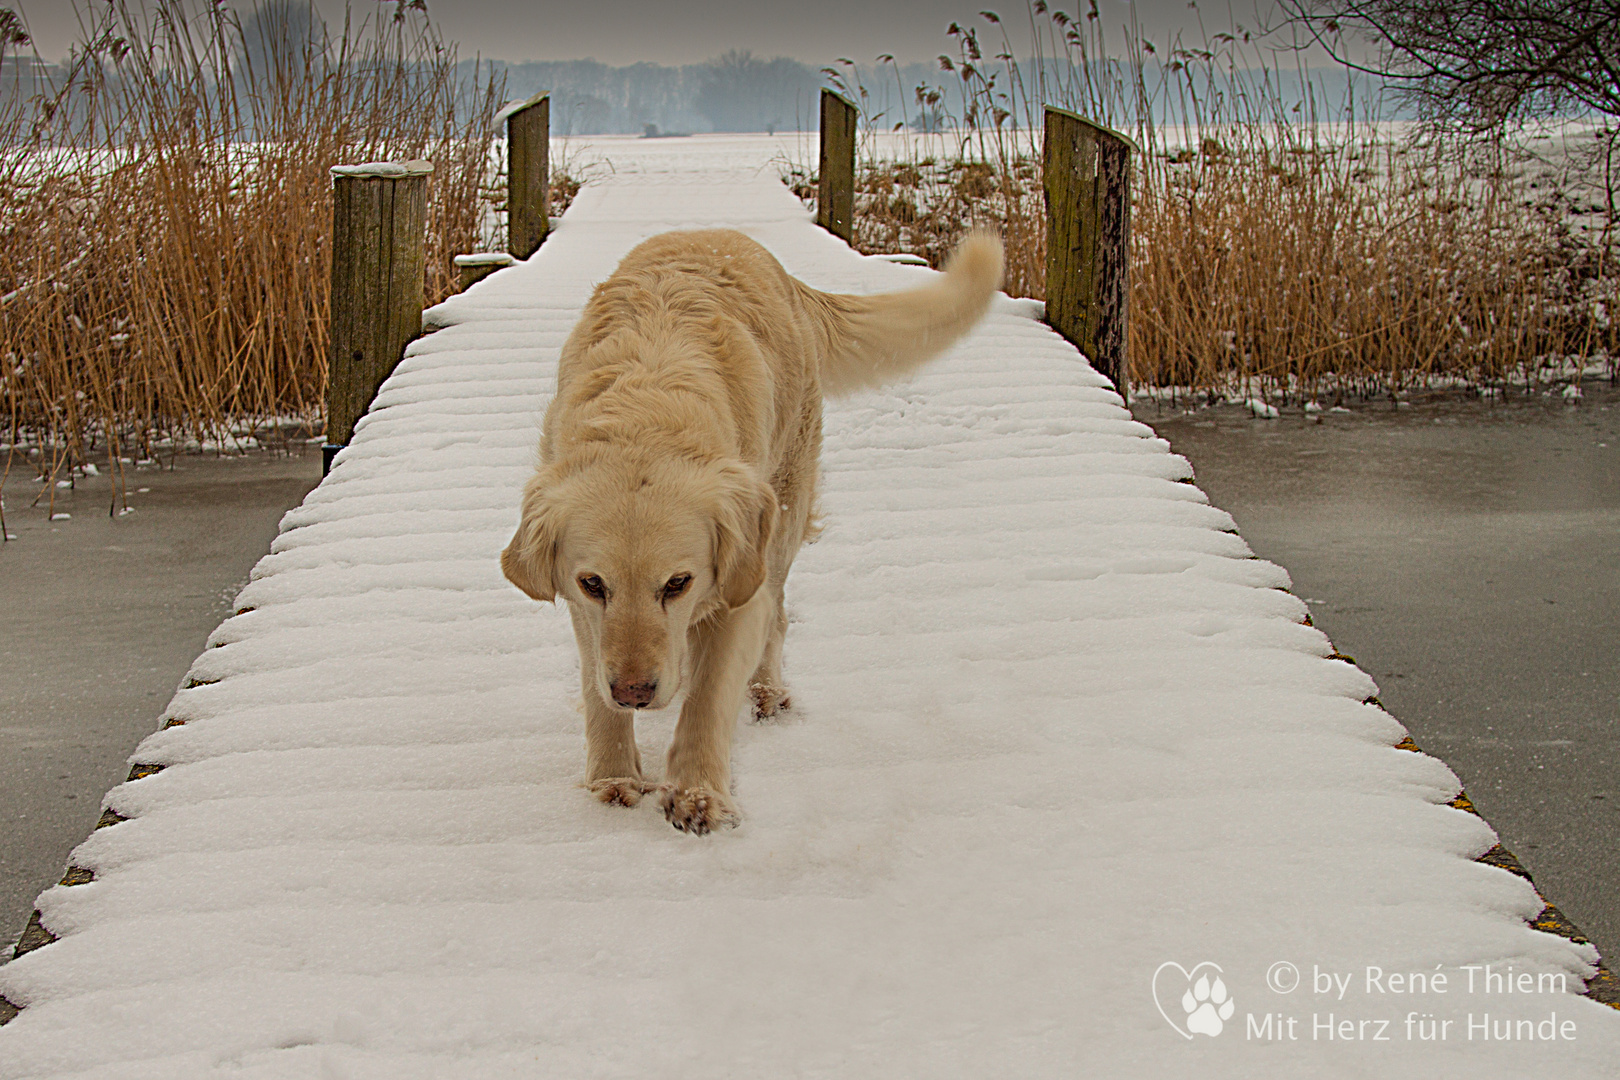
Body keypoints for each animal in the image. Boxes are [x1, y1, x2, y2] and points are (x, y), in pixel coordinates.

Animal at [498, 229, 997, 835]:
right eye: (594, 584)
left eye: (678, 582)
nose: (635, 692)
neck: (646, 413)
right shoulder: (584, 612)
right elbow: (597, 683)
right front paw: (612, 777)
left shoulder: (739, 580)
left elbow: (711, 692)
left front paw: (697, 793)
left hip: (782, 514)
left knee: (776, 616)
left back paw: (765, 692)